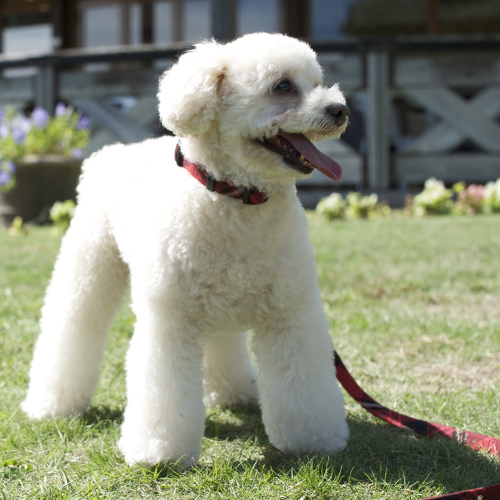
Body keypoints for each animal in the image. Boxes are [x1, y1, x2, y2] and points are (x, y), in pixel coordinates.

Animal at [22, 32, 350, 467]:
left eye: (317, 83)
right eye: (283, 86)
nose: (339, 110)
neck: (235, 198)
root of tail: (109, 154)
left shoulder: (291, 313)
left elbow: (303, 379)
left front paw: (313, 440)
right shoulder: (169, 321)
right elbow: (164, 390)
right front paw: (159, 452)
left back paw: (232, 392)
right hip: (89, 264)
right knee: (73, 325)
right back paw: (51, 404)